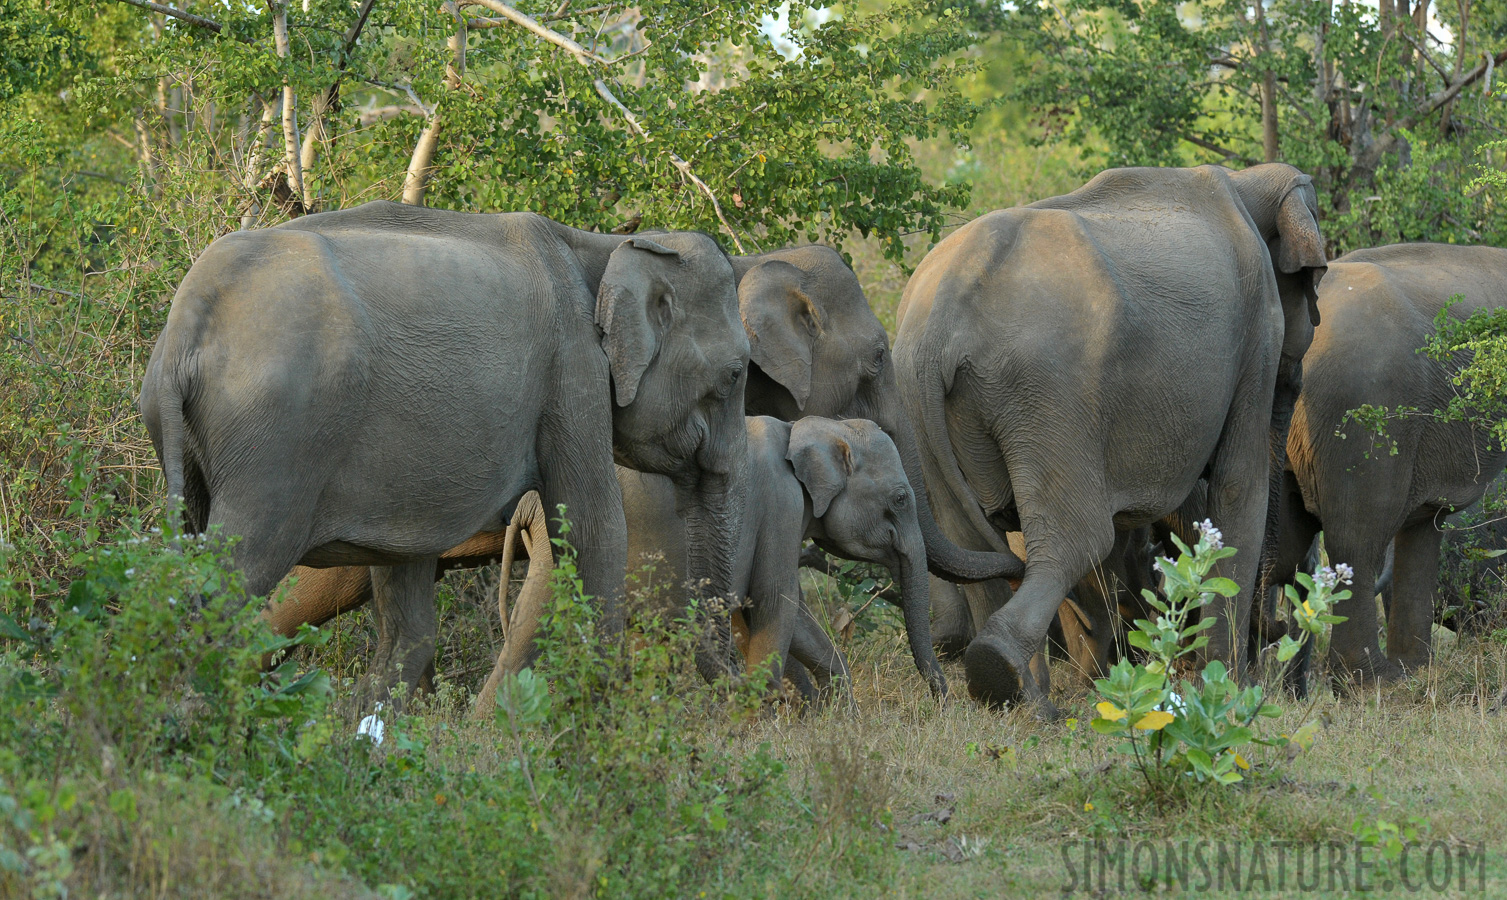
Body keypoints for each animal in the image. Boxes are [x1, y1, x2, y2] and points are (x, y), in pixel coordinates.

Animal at [138, 203, 750, 702]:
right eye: (736, 374)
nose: (738, 684)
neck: (599, 245)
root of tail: (189, 316)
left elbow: (406, 600)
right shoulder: (572, 369)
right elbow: (594, 527)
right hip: (276, 437)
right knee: (229, 586)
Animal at [482, 413, 946, 708]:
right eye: (900, 499)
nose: (942, 702)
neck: (806, 427)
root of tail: (526, 506)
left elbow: (790, 615)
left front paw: (837, 716)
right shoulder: (780, 502)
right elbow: (774, 601)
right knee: (534, 623)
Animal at [898, 161, 1326, 708]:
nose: (1276, 633)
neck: (1244, 178)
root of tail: (938, 323)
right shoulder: (1257, 333)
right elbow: (1238, 487)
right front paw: (1230, 691)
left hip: (928, 406)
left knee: (976, 541)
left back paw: (1029, 700)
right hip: (1049, 395)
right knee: (1077, 537)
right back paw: (1007, 676)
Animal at [1265, 238, 1500, 681]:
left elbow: (1426, 521)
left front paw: (1419, 674)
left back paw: (1411, 674)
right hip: (1364, 407)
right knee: (1359, 533)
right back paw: (1374, 681)